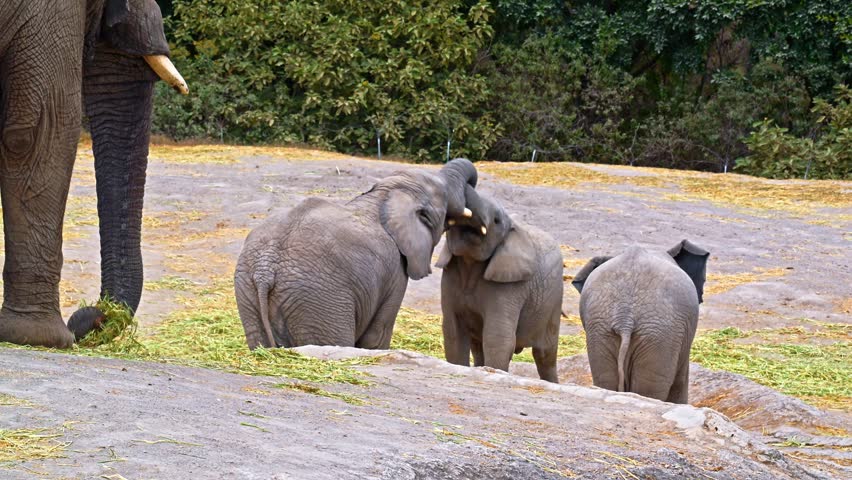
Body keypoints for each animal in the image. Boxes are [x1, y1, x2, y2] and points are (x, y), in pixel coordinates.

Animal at [234, 158, 478, 350]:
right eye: (444, 196)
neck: (385, 195)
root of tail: (266, 268)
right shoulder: (395, 273)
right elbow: (376, 337)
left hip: (248, 290)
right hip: (318, 300)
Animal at [436, 190, 563, 383]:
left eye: (496, 220)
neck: (469, 262)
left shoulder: (511, 285)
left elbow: (497, 336)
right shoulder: (450, 275)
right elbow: (454, 333)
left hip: (554, 300)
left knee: (545, 354)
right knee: (477, 345)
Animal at [571, 240, 710, 403]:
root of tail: (625, 318)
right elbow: (680, 380)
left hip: (601, 329)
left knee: (606, 379)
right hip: (660, 336)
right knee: (650, 388)